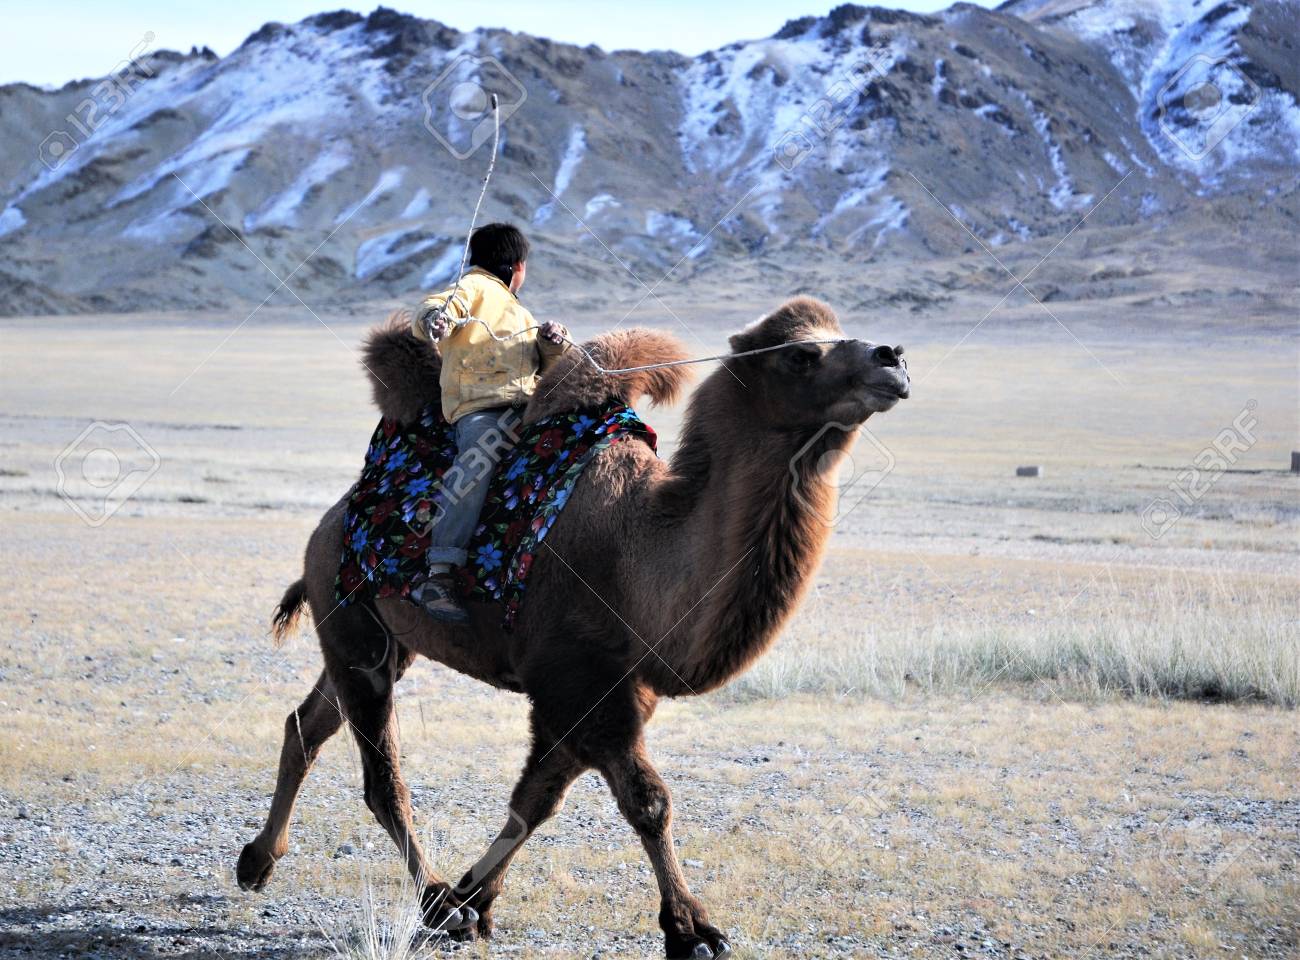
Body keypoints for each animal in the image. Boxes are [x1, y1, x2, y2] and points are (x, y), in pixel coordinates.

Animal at [235, 296, 910, 959]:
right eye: (800, 355)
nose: (893, 356)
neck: (638, 548)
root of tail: (328, 524)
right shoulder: (580, 681)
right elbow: (647, 802)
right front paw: (692, 930)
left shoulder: (608, 690)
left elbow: (535, 801)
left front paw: (478, 901)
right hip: (352, 622)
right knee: (381, 778)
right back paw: (432, 898)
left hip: (376, 639)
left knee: (308, 725)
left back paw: (258, 862)